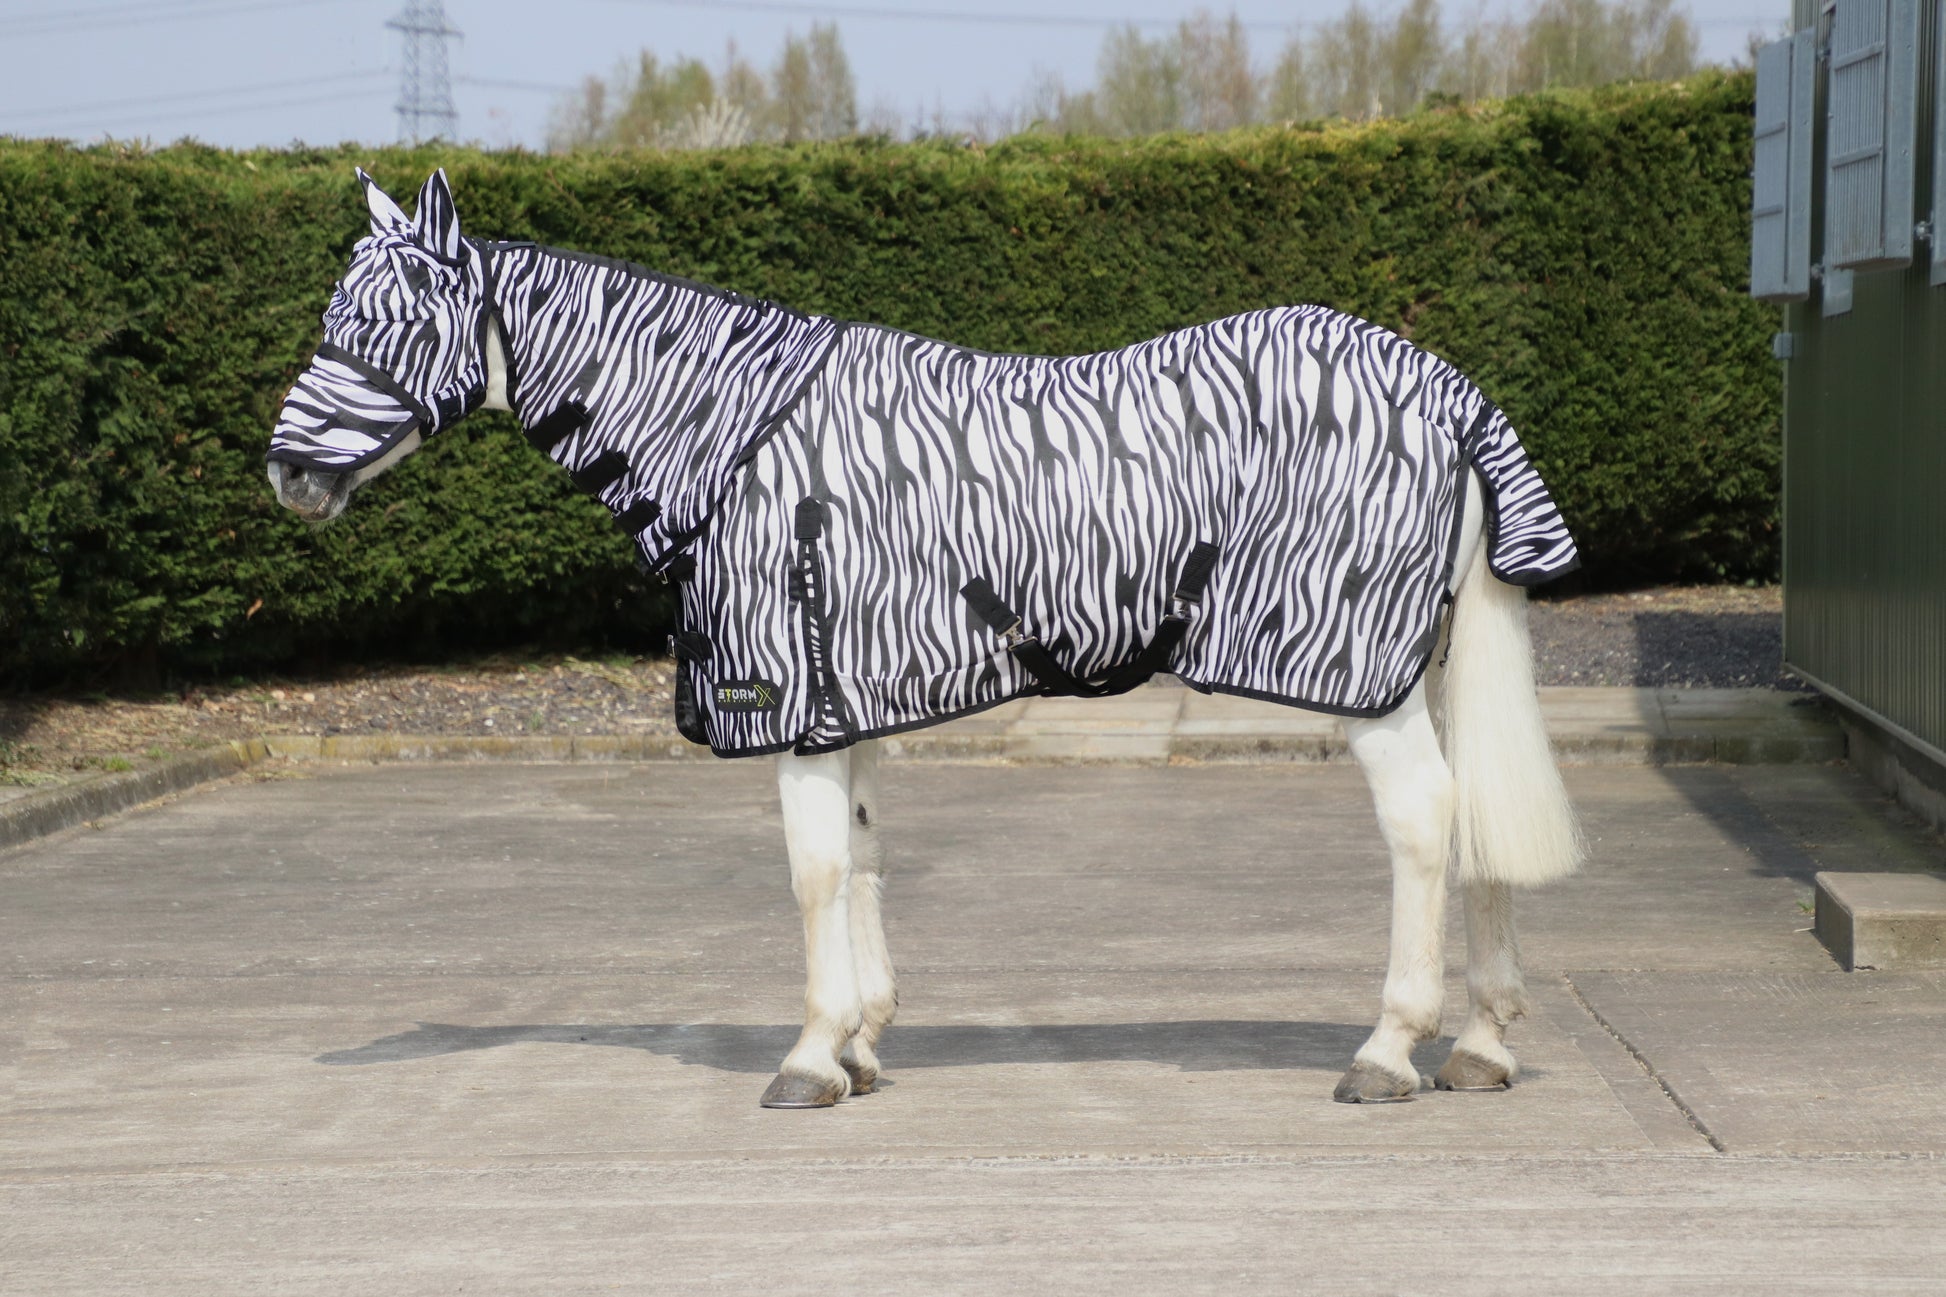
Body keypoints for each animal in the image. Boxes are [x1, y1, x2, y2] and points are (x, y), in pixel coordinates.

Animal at [268, 169, 1583, 1107]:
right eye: (332, 315)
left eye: (389, 324)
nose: (287, 475)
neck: (731, 438)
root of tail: (1444, 386)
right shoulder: (843, 696)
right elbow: (860, 859)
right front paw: (858, 1046)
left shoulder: (787, 697)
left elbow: (810, 872)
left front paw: (808, 1059)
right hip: (1432, 657)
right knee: (1474, 820)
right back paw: (1479, 1048)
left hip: (1362, 678)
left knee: (1423, 817)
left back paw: (1387, 1050)